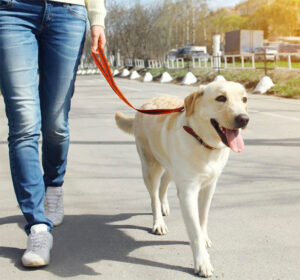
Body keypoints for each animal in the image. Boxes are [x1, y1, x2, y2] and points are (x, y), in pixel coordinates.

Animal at [114, 81, 248, 278]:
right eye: (221, 98)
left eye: (244, 99)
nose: (244, 119)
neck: (203, 142)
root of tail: (145, 105)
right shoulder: (188, 192)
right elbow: (194, 230)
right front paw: (202, 262)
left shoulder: (209, 186)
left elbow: (203, 219)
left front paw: (204, 237)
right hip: (150, 167)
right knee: (154, 196)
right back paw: (158, 222)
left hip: (170, 168)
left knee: (163, 186)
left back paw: (164, 207)